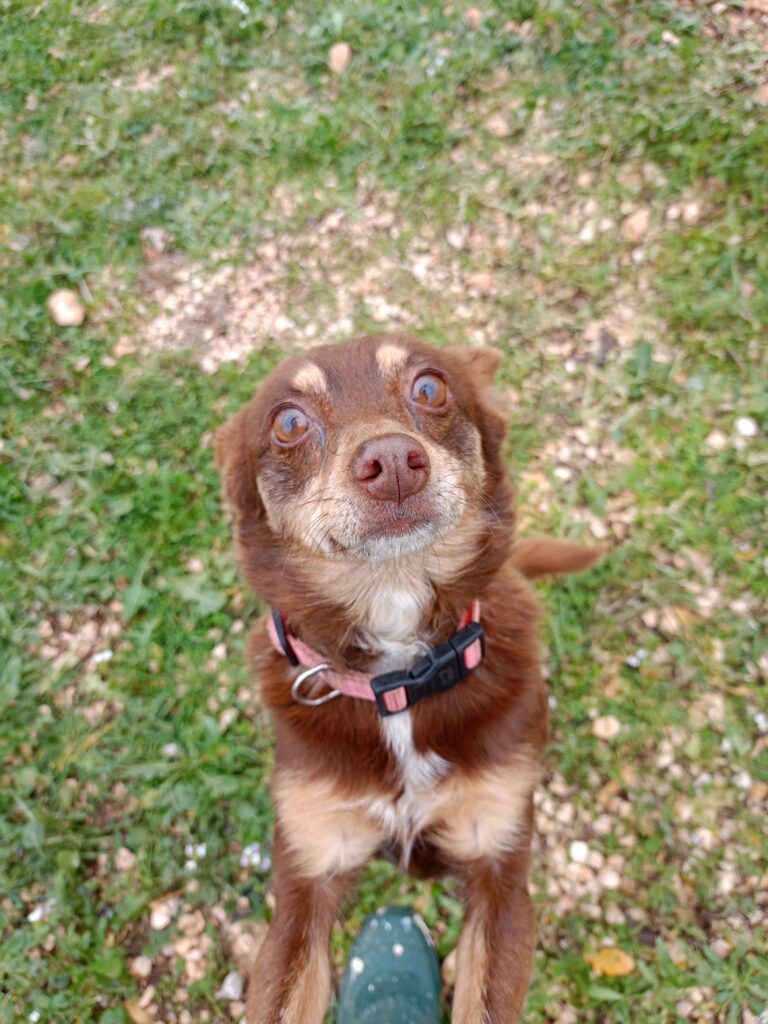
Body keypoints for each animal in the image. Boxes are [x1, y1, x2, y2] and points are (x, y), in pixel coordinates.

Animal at [215, 334, 603, 1023]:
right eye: (288, 424)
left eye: (430, 387)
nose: (393, 459)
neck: (399, 678)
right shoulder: (305, 885)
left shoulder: (500, 873)